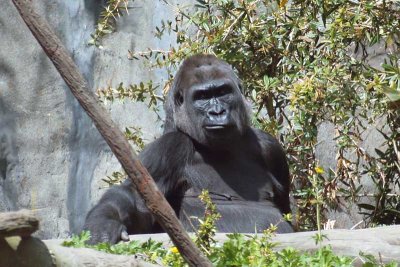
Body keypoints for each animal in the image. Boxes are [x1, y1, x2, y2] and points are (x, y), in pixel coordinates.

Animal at [83, 54, 292, 245]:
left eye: (223, 92)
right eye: (202, 97)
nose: (217, 112)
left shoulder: (270, 147)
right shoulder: (169, 146)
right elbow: (139, 198)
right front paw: (104, 222)